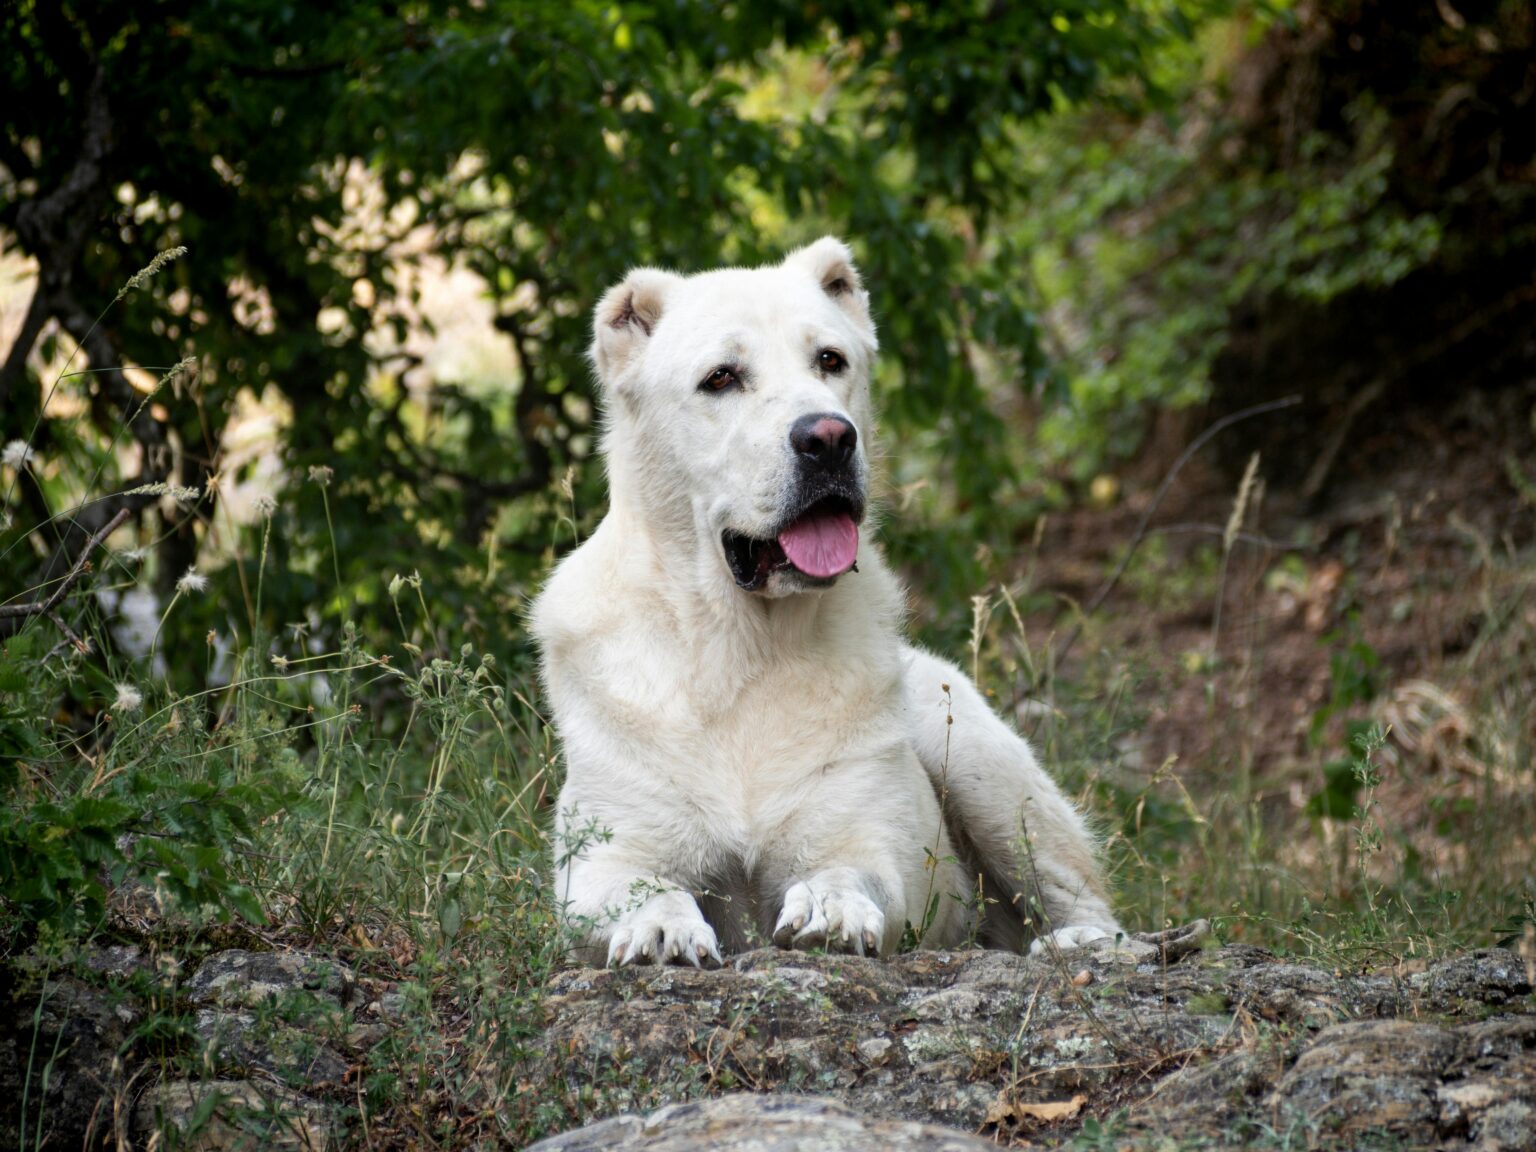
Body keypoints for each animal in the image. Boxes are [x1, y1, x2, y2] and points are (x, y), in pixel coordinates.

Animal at [534, 239, 1124, 970]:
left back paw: (1082, 944)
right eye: (721, 378)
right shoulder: (601, 857)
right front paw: (660, 929)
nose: (829, 438)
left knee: (1077, 895)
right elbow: (637, 888)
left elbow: (852, 870)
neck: (740, 647)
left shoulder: (871, 841)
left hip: (976, 757)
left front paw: (830, 907)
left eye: (830, 361)